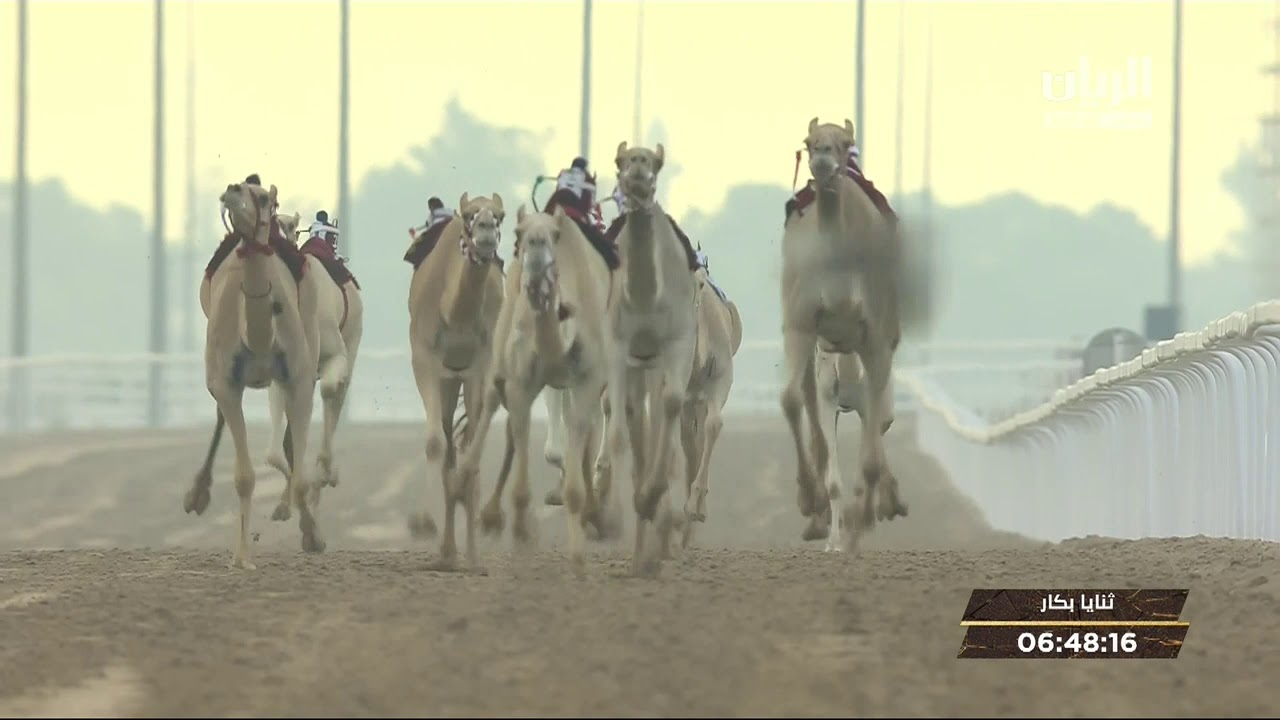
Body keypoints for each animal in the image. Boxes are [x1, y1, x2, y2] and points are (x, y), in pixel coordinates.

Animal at [186, 182, 325, 569]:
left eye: (263, 197)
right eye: (235, 187)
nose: (232, 191)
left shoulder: (300, 380)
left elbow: (301, 474)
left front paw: (312, 535)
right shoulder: (226, 384)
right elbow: (244, 477)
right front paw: (242, 557)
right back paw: (197, 493)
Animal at [406, 192, 506, 569]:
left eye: (501, 216)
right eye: (468, 216)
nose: (486, 231)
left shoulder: (481, 361)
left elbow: (475, 434)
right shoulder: (424, 358)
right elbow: (436, 443)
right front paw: (423, 523)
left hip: (461, 377)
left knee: (464, 437)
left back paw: (469, 556)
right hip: (448, 381)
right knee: (447, 441)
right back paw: (447, 552)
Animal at [455, 205, 615, 574]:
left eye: (555, 235)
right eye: (518, 233)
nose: (536, 249)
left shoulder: (587, 382)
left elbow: (576, 472)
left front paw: (579, 557)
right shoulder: (520, 384)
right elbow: (521, 477)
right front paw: (521, 538)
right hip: (499, 356)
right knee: (491, 407)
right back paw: (475, 498)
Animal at [780, 117, 909, 552]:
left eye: (845, 143)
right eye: (808, 142)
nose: (822, 161)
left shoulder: (875, 345)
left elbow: (871, 453)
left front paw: (867, 518)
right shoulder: (804, 331)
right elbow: (795, 405)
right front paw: (824, 523)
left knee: (878, 432)